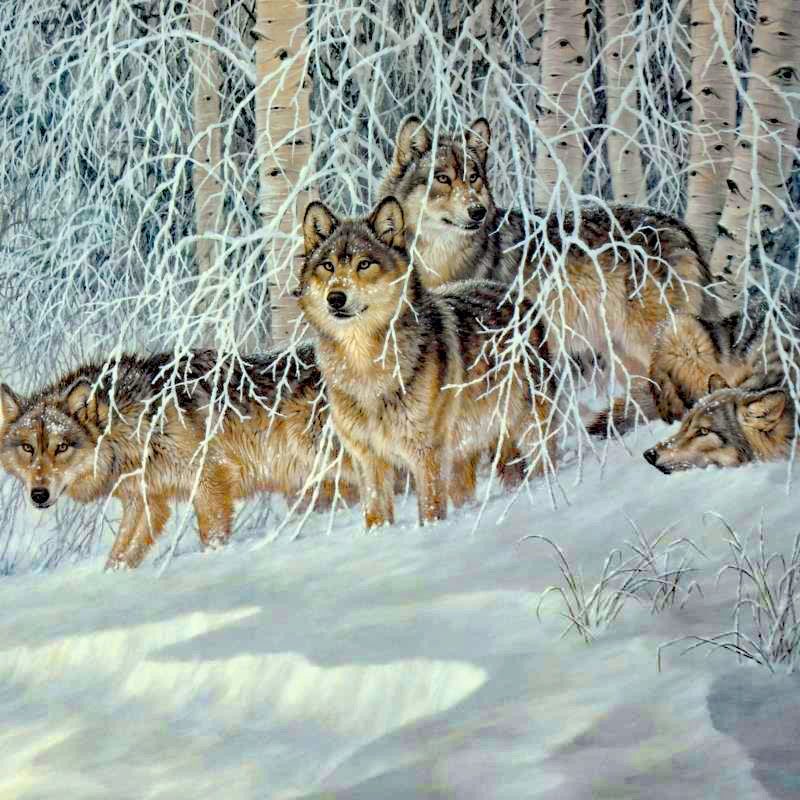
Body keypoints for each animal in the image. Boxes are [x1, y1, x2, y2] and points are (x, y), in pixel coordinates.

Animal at [0, 346, 355, 569]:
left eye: (61, 447)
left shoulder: (210, 480)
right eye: (28, 448)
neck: (135, 425)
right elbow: (120, 554)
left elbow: (212, 537)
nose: (39, 494)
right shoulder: (146, 501)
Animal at [296, 195, 556, 529]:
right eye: (328, 266)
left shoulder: (426, 453)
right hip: (465, 450)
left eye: (364, 264)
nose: (335, 298)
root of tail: (512, 293)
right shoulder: (368, 459)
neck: (366, 370)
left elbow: (430, 509)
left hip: (529, 426)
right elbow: (375, 514)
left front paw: (431, 534)